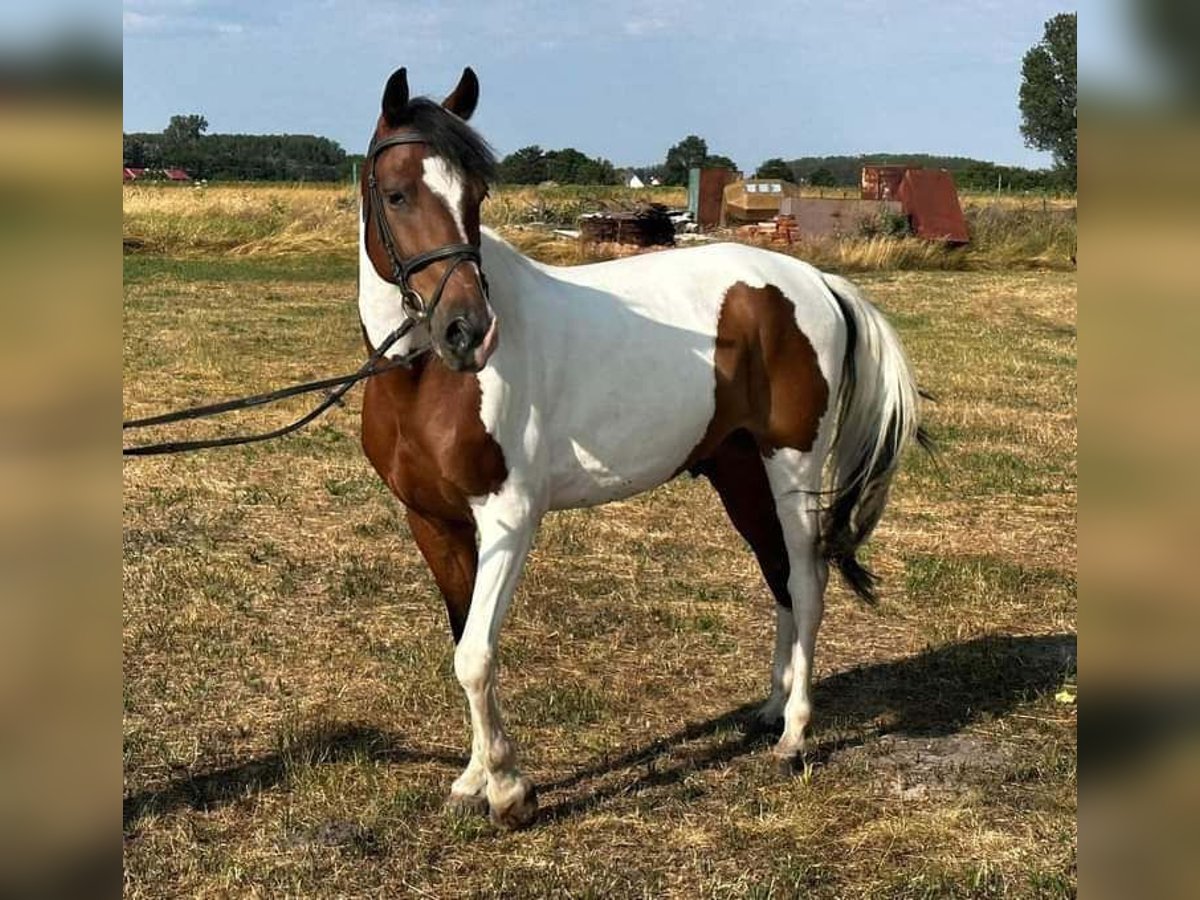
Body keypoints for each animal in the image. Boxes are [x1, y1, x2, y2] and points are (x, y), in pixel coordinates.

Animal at [355, 70, 926, 830]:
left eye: (475, 195)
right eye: (397, 194)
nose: (468, 331)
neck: (424, 381)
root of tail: (815, 284)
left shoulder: (510, 517)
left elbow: (475, 654)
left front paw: (508, 790)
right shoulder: (433, 521)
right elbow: (462, 640)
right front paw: (475, 779)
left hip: (792, 467)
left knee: (807, 583)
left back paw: (796, 736)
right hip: (739, 471)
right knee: (778, 576)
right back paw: (771, 712)